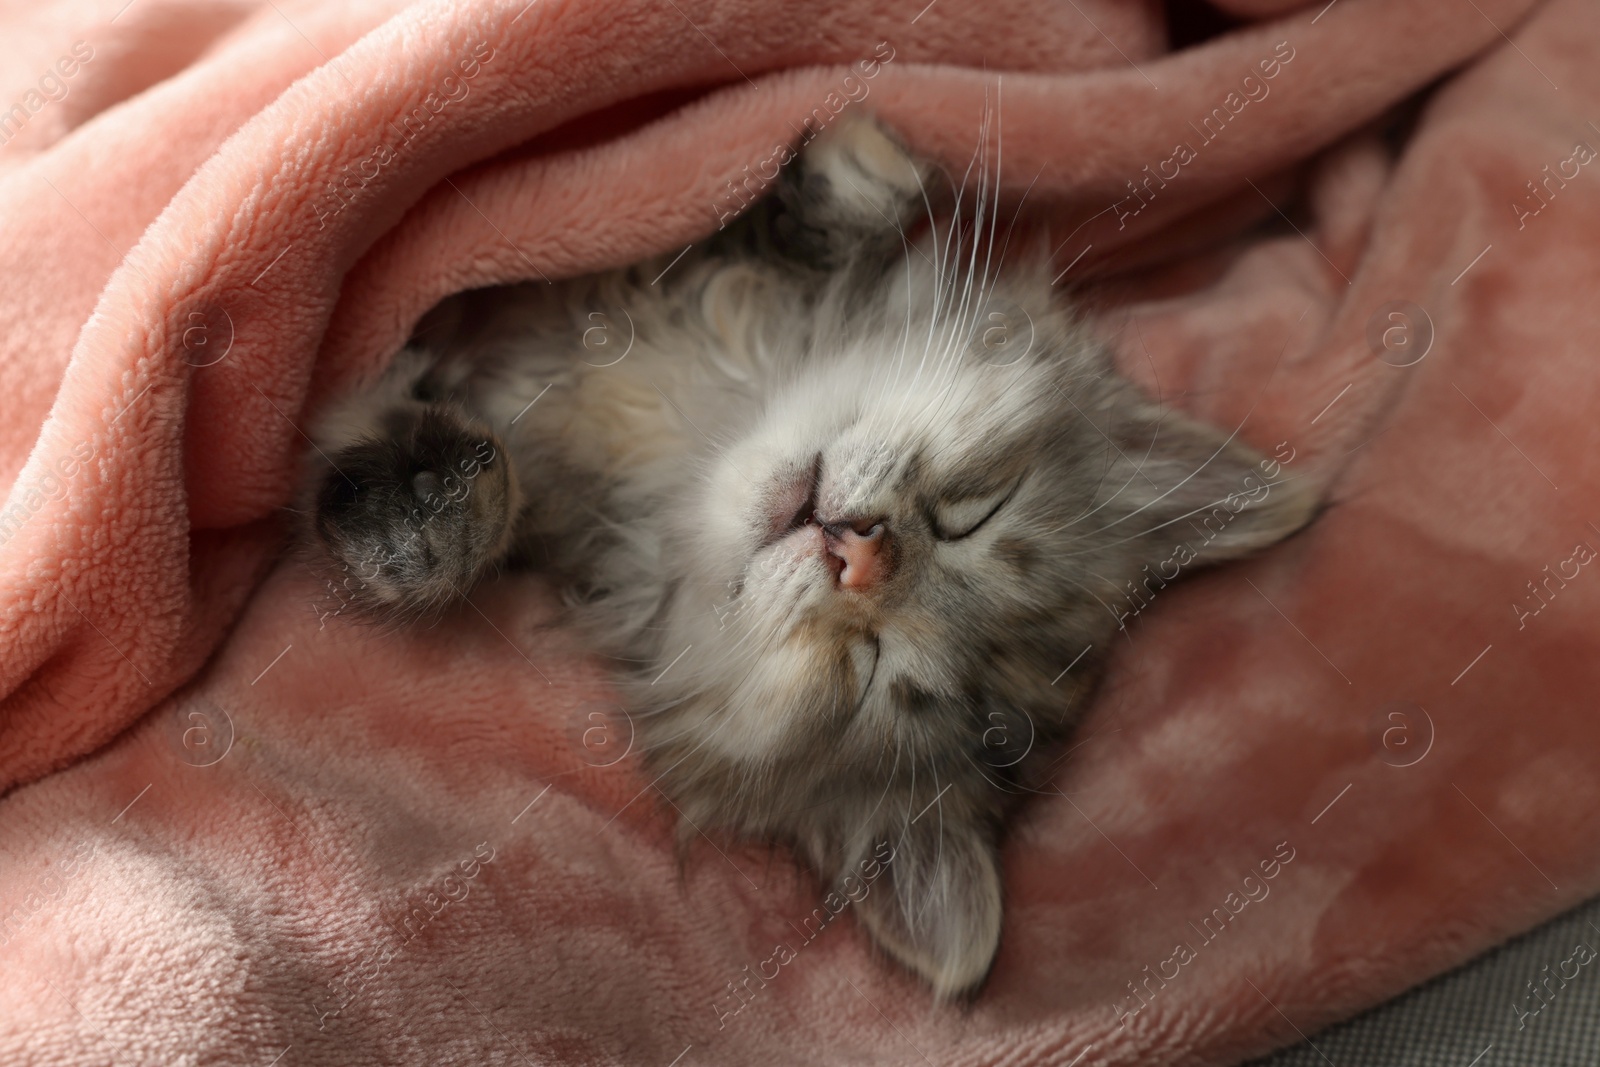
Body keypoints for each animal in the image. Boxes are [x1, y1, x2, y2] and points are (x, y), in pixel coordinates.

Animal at [300, 116, 1312, 1004]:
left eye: (868, 671)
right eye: (972, 517)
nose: (858, 553)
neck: (694, 433)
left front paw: (425, 526)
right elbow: (812, 221)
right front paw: (867, 166)